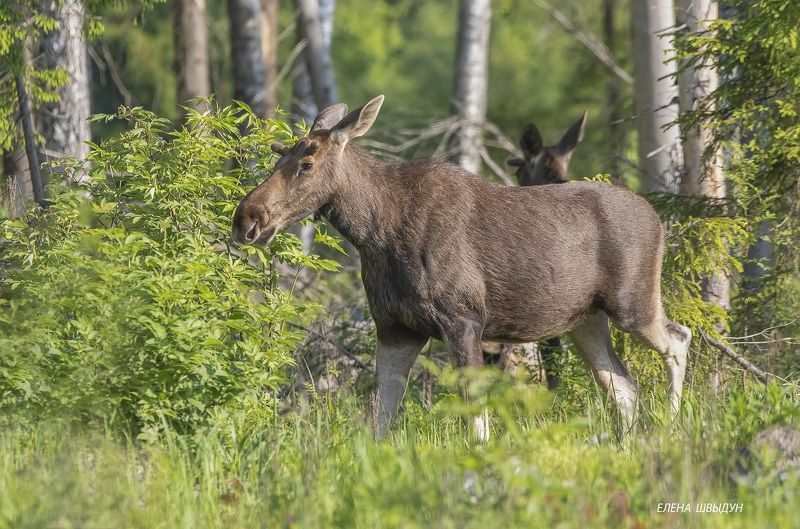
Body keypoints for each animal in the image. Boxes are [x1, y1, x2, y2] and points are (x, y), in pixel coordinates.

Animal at [231, 95, 691, 442]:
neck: (374, 235)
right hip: (585, 320)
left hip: (632, 303)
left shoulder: (464, 320)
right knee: (623, 385)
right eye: (278, 157)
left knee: (678, 339)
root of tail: (658, 219)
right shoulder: (395, 328)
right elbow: (381, 418)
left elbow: (477, 419)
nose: (246, 219)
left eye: (306, 163)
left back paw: (671, 427)